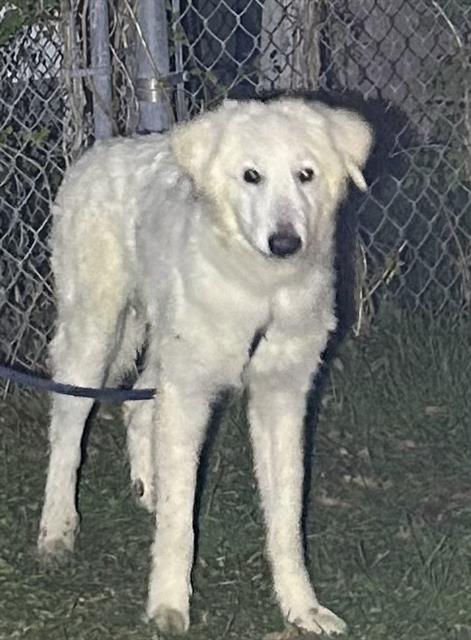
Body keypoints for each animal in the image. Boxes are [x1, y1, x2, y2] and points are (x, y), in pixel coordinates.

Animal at [38, 97, 372, 636]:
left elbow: (286, 517)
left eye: (306, 175)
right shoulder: (190, 393)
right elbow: (180, 522)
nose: (285, 243)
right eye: (251, 176)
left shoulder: (281, 397)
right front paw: (169, 606)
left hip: (164, 347)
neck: (262, 294)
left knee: (137, 407)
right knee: (68, 427)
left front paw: (301, 607)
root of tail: (104, 148)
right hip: (95, 332)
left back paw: (147, 488)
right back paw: (57, 529)